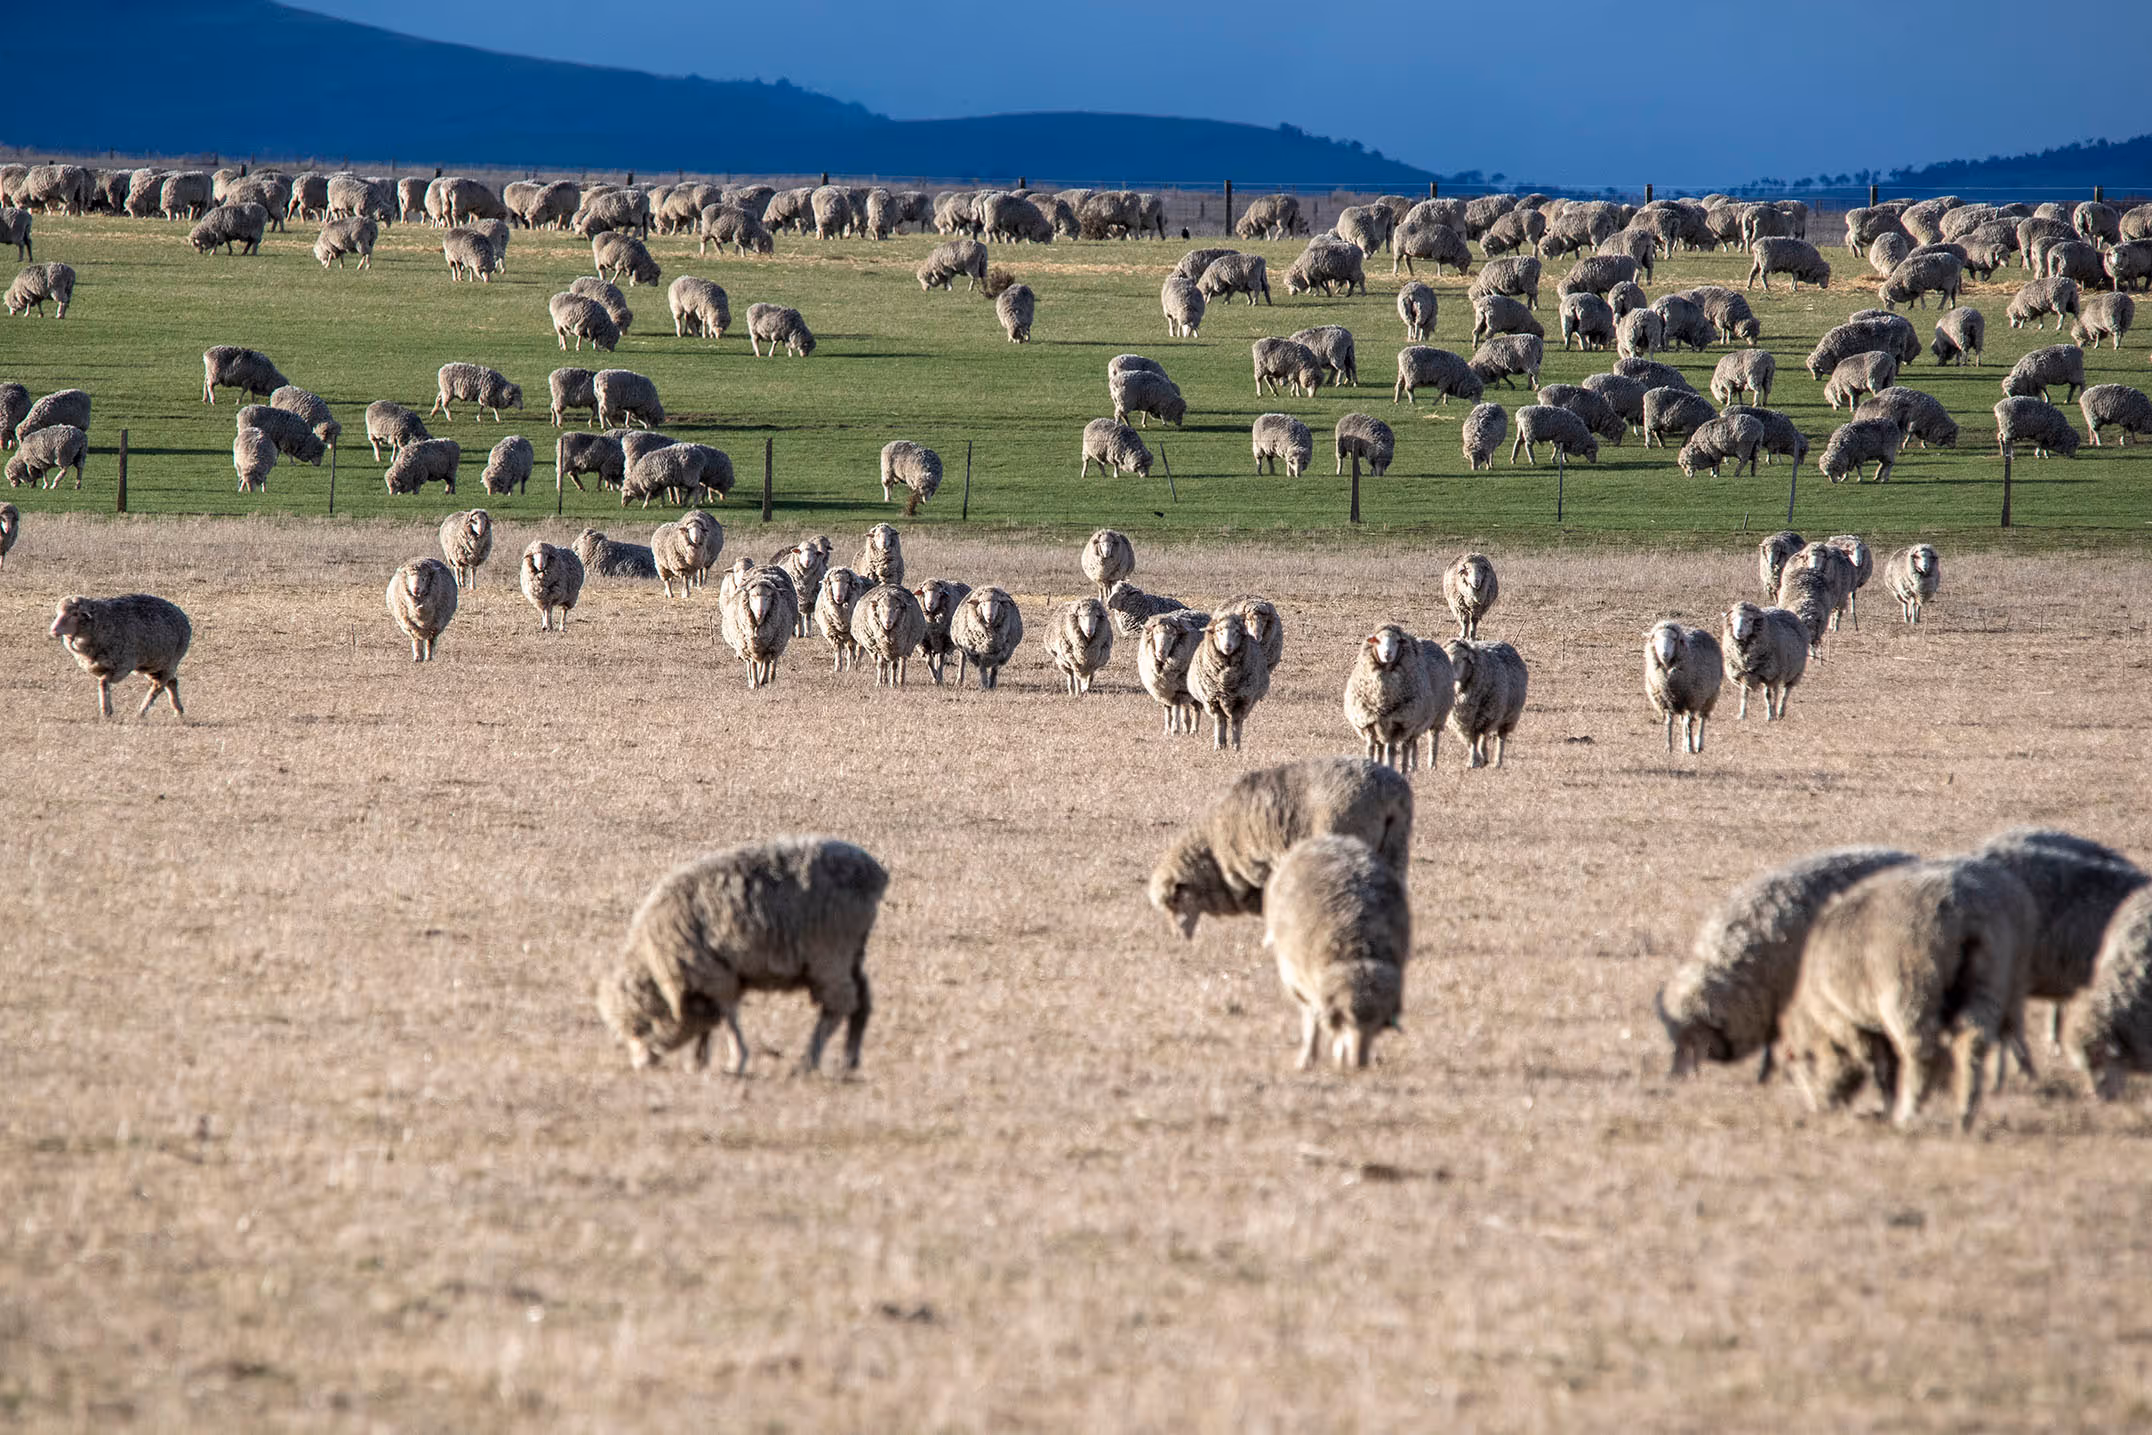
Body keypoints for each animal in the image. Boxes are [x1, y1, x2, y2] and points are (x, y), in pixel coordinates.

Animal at [48, 594, 193, 719]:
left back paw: (142, 712)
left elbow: (103, 682)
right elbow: (103, 684)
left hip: (168, 662)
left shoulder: (120, 666)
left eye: (74, 614)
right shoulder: (102, 665)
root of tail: (181, 614)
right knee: (171, 682)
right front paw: (107, 710)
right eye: (58, 613)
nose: (53, 630)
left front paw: (106, 711)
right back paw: (178, 711)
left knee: (158, 687)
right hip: (154, 664)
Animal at [595, 837, 887, 1075]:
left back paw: (809, 1061)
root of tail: (875, 873)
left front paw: (735, 1061)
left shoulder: (715, 975)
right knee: (862, 1001)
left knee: (837, 1008)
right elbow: (710, 1021)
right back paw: (849, 1059)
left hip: (829, 955)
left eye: (640, 1027)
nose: (640, 1066)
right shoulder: (709, 982)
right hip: (850, 954)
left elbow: (727, 1019)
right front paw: (699, 1060)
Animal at [1188, 612, 1271, 751]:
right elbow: (1220, 722)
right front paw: (1219, 746)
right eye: (1218, 630)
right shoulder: (1214, 701)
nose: (1227, 646)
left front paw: (1236, 747)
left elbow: (1236, 723)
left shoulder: (1242, 701)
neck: (1226, 679)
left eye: (1237, 631)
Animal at [1443, 639, 1528, 768]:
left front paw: (1475, 761)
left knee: (1500, 737)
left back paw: (1497, 762)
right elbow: (1471, 741)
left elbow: (1477, 739)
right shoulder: (1465, 720)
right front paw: (1475, 759)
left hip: (1507, 715)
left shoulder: (1483, 716)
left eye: (1462, 658)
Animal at [1780, 856, 2037, 1130]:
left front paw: (1884, 1104)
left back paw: (1909, 1113)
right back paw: (1964, 1113)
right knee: (1974, 1041)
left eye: (1800, 1071)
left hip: (1909, 988)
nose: (1820, 1109)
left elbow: (1874, 1063)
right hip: (1995, 977)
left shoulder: (1844, 1021)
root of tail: (1967, 907)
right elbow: (1888, 1063)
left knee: (1922, 1052)